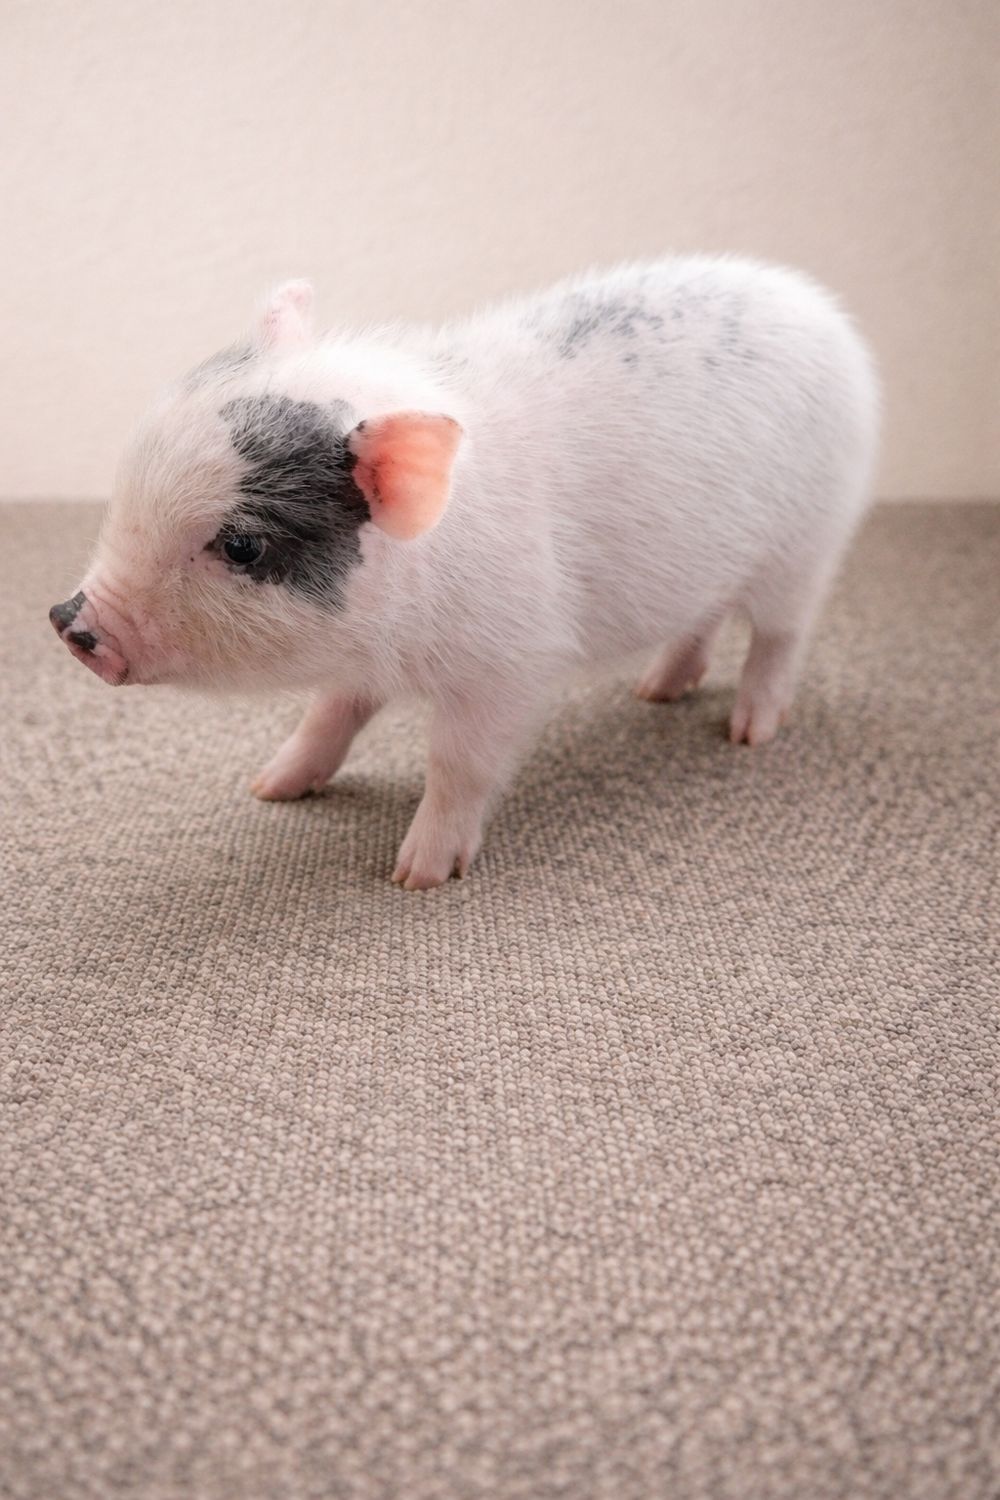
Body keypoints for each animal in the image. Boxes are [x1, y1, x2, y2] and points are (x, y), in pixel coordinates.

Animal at [50, 258, 879, 888]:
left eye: (243, 546)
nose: (69, 622)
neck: (398, 639)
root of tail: (815, 304)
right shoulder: (361, 664)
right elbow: (327, 716)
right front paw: (269, 788)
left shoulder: (511, 662)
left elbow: (458, 763)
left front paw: (415, 876)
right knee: (701, 621)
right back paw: (656, 690)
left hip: (811, 538)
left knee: (780, 637)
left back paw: (748, 734)